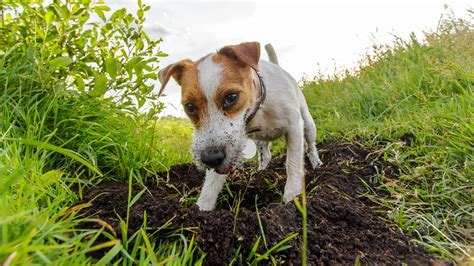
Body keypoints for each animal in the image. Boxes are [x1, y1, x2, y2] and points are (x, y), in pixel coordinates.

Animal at [159, 42, 322, 212]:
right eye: (189, 107)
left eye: (231, 97)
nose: (210, 159)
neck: (258, 107)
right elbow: (211, 182)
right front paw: (202, 207)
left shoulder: (294, 128)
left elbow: (293, 163)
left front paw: (292, 197)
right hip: (259, 140)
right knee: (266, 155)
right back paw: (261, 172)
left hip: (308, 124)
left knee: (310, 145)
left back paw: (316, 163)